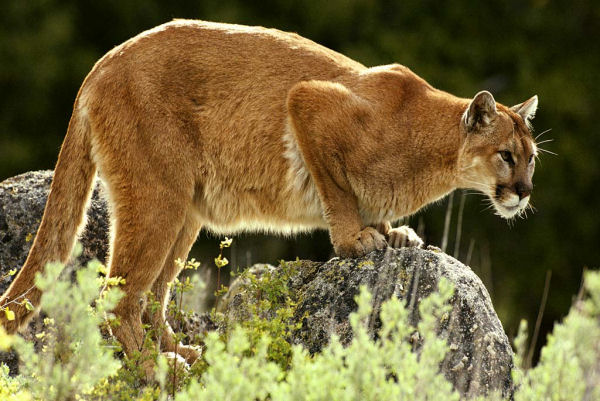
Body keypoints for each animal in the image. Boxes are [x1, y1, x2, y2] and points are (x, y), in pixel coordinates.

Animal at [0, 20, 540, 370]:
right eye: (506, 155)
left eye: (532, 158)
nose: (524, 192)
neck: (434, 150)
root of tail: (101, 63)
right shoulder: (309, 102)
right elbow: (337, 191)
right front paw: (356, 241)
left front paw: (393, 233)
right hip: (158, 197)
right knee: (118, 297)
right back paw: (156, 371)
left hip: (185, 209)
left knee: (154, 292)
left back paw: (179, 351)